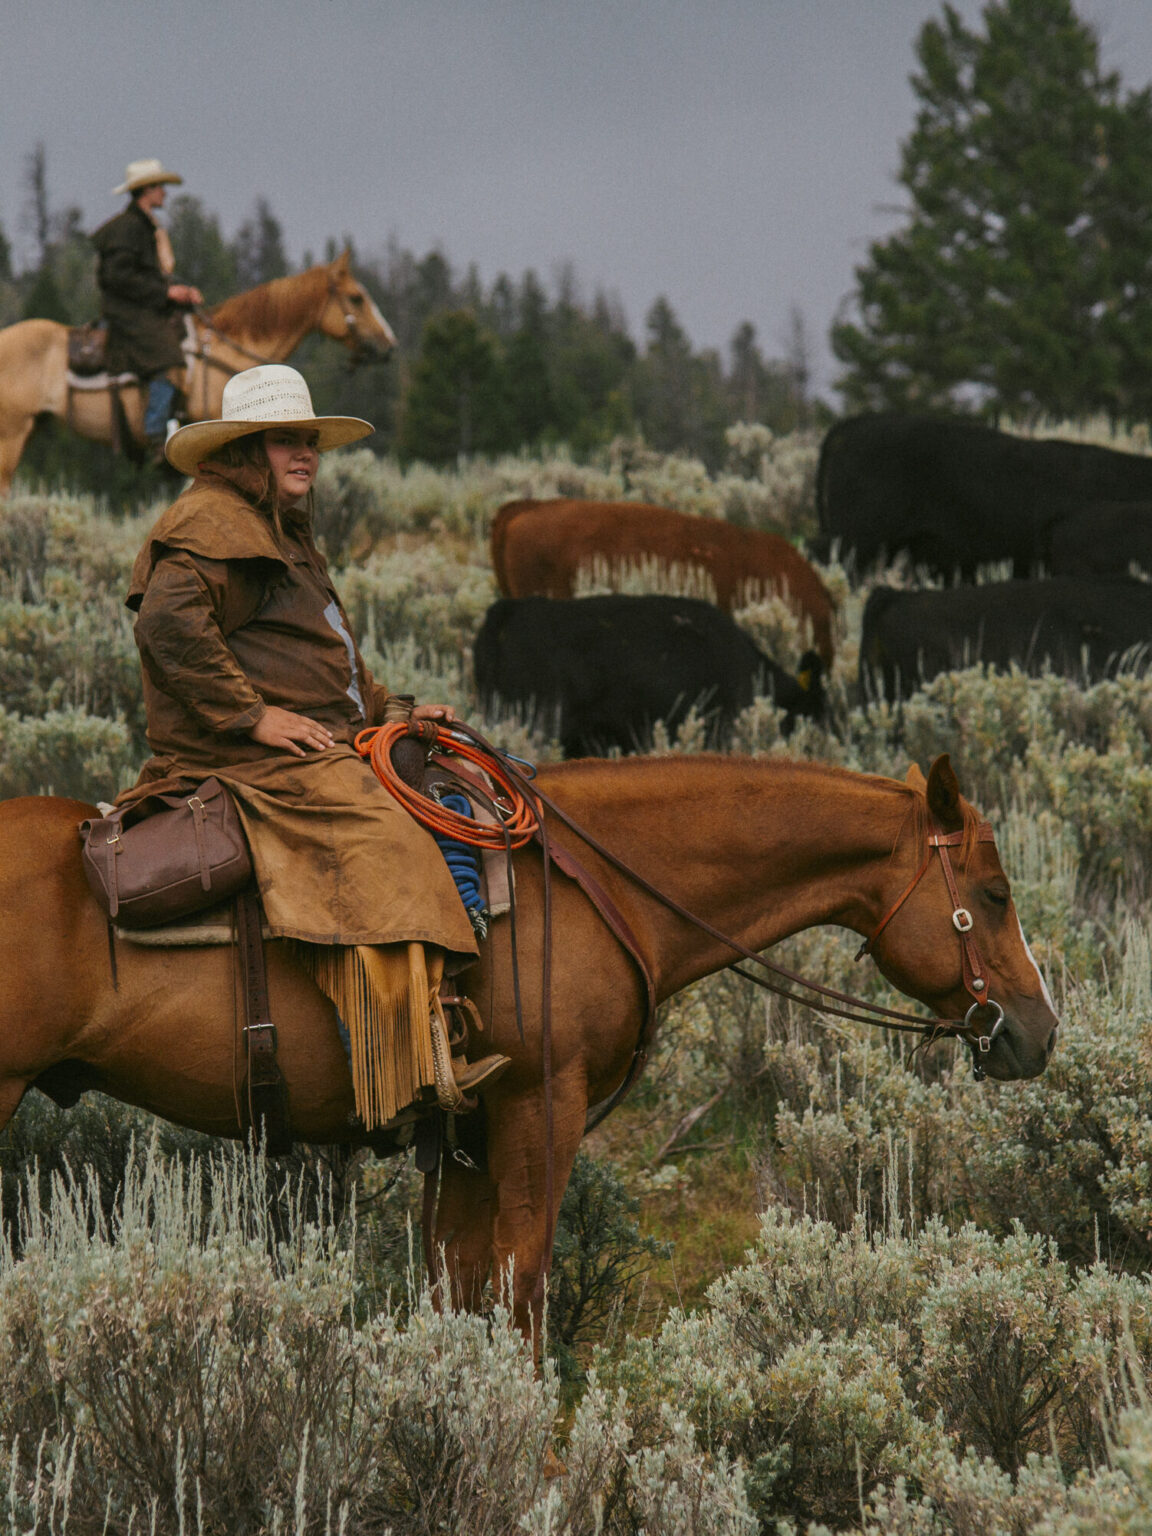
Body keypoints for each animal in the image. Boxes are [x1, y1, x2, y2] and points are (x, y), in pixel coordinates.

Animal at [2, 751, 1057, 1343]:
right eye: (995, 893)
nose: (1039, 1032)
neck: (600, 885)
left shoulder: (464, 1132)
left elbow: (460, 1282)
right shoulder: (539, 1106)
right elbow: (524, 1280)